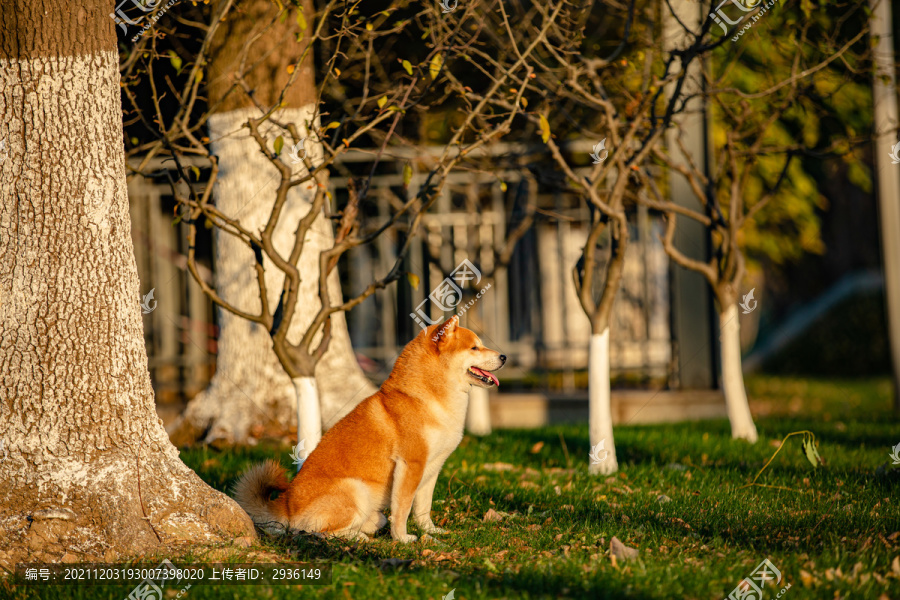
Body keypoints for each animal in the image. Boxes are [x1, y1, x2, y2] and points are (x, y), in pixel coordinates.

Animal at [232, 318, 506, 544]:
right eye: (475, 348)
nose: (503, 356)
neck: (426, 397)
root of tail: (286, 505)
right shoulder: (410, 465)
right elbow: (403, 509)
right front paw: (403, 539)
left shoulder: (432, 468)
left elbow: (422, 508)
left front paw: (431, 531)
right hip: (355, 489)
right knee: (317, 532)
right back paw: (360, 540)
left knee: (369, 521)